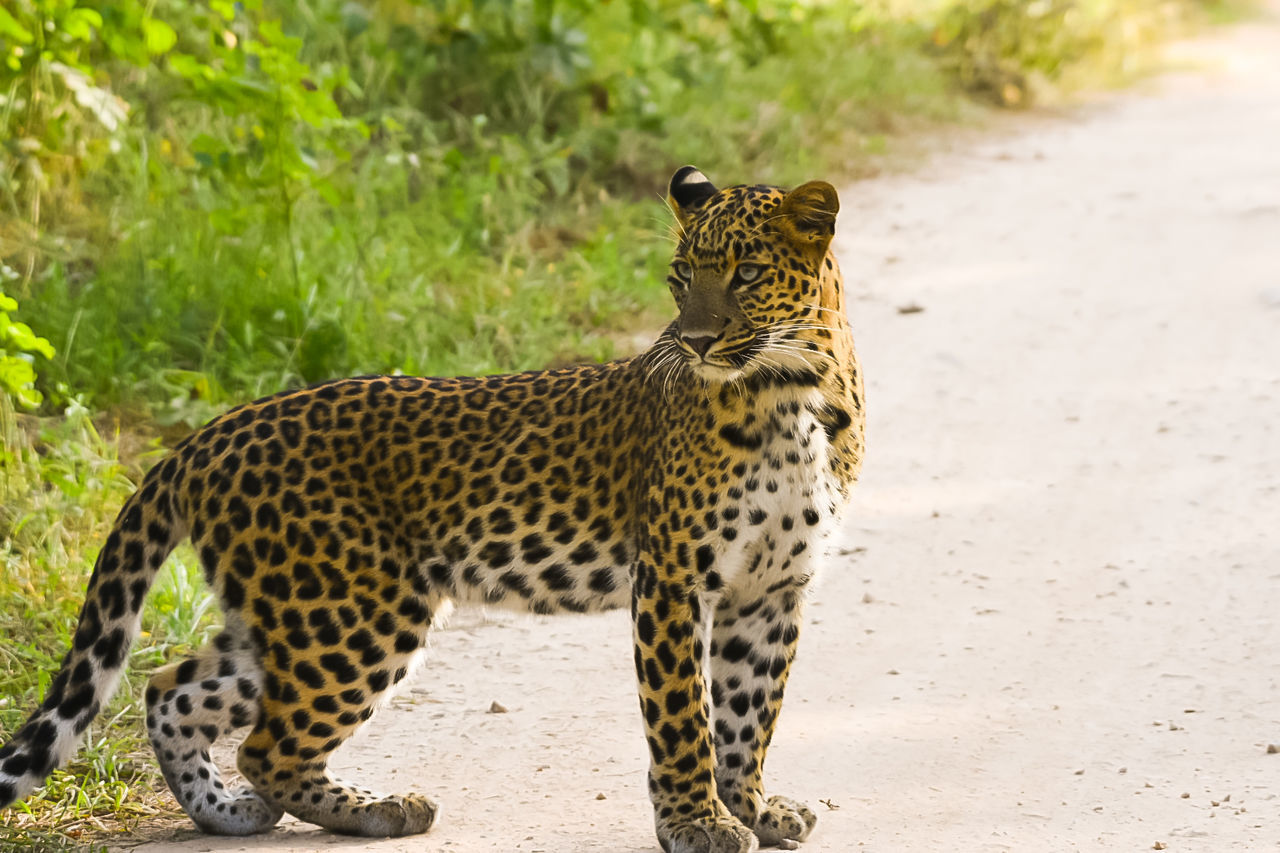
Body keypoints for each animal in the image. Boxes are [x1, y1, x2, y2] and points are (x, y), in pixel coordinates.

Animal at [0, 167, 865, 850]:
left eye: (746, 272)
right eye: (682, 277)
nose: (694, 340)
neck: (793, 388)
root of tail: (209, 435)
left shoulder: (772, 588)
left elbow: (749, 711)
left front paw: (753, 808)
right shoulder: (675, 578)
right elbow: (686, 712)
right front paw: (697, 821)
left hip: (292, 615)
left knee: (174, 689)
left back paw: (231, 813)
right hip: (353, 613)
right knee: (265, 741)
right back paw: (377, 808)